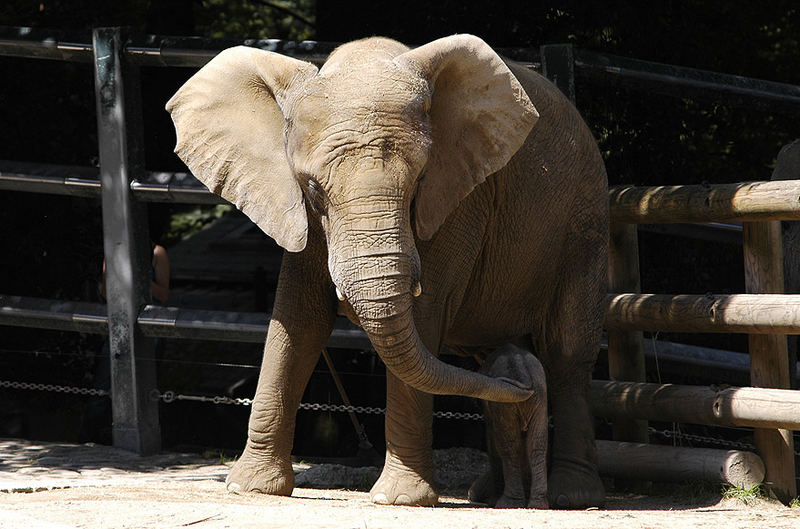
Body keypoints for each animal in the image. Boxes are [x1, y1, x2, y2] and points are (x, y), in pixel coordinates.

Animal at [468, 344, 552, 510]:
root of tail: (521, 368)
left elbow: (492, 441)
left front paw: (492, 501)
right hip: (540, 394)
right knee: (537, 445)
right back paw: (538, 505)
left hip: (505, 401)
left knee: (508, 447)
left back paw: (505, 504)